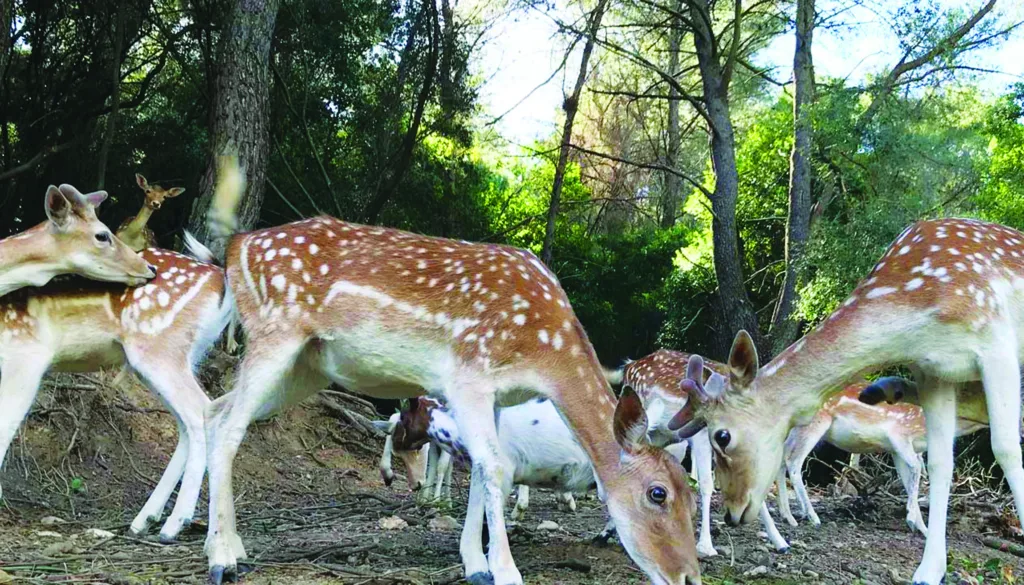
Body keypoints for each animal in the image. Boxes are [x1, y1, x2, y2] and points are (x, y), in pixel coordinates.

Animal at [0, 244, 228, 540]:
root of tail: (219, 276)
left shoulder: (27, 356)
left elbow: (6, 424)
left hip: (158, 349)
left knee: (202, 409)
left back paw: (175, 524)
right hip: (179, 356)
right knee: (185, 423)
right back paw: (144, 520)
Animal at [197, 157, 704, 585]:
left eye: (690, 490)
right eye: (658, 493)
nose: (687, 576)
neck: (540, 352)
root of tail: (237, 247)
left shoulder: (497, 395)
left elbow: (482, 469)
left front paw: (476, 565)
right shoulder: (468, 375)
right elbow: (494, 466)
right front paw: (506, 572)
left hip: (308, 367)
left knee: (214, 410)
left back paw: (222, 543)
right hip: (275, 333)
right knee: (229, 426)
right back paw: (222, 559)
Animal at [778, 379, 987, 536]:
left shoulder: (898, 449)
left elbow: (909, 478)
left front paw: (923, 529)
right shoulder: (899, 434)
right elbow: (917, 470)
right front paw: (912, 519)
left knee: (781, 456)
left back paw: (788, 516)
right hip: (816, 421)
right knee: (793, 461)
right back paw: (812, 516)